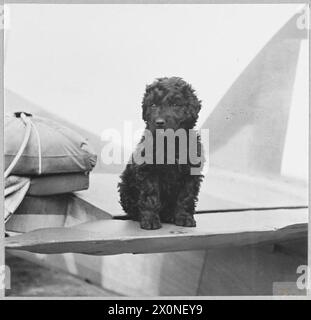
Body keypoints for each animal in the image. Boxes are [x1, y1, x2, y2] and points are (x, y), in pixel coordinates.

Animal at [119, 76, 205, 229]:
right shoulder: (148, 171)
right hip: (125, 186)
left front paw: (184, 217)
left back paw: (170, 215)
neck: (170, 143)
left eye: (176, 104)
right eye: (153, 104)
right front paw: (150, 220)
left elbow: (186, 196)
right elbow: (150, 195)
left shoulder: (191, 173)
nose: (159, 122)